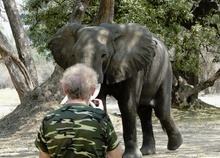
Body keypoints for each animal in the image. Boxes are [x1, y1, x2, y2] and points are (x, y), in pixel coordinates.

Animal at [49, 22, 183, 157]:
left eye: (103, 55)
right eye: (73, 55)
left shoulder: (132, 65)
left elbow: (127, 105)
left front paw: (130, 156)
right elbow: (102, 101)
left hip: (165, 69)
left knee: (161, 110)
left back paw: (174, 145)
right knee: (144, 112)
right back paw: (147, 151)